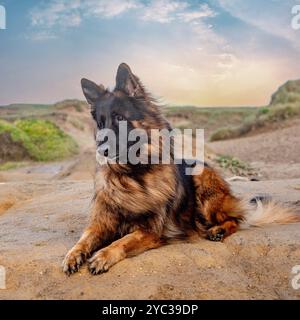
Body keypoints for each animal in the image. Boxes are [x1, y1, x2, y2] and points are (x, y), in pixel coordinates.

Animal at [62, 63, 298, 276]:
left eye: (119, 118)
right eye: (100, 124)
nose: (100, 149)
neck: (132, 175)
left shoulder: (150, 230)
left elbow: (123, 241)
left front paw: (103, 255)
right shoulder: (101, 222)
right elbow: (84, 238)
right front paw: (73, 255)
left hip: (204, 188)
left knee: (237, 220)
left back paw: (218, 230)